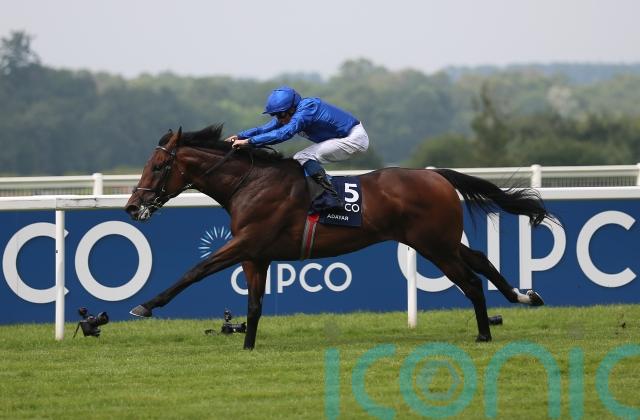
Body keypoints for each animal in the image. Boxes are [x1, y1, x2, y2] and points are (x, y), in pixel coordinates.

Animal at [125, 124, 553, 349]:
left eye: (159, 166)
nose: (131, 206)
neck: (250, 182)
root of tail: (438, 176)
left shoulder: (246, 243)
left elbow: (196, 270)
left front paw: (145, 305)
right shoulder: (255, 254)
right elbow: (254, 304)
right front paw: (247, 346)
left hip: (434, 245)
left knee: (471, 281)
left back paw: (484, 332)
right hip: (440, 241)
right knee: (480, 259)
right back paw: (523, 296)